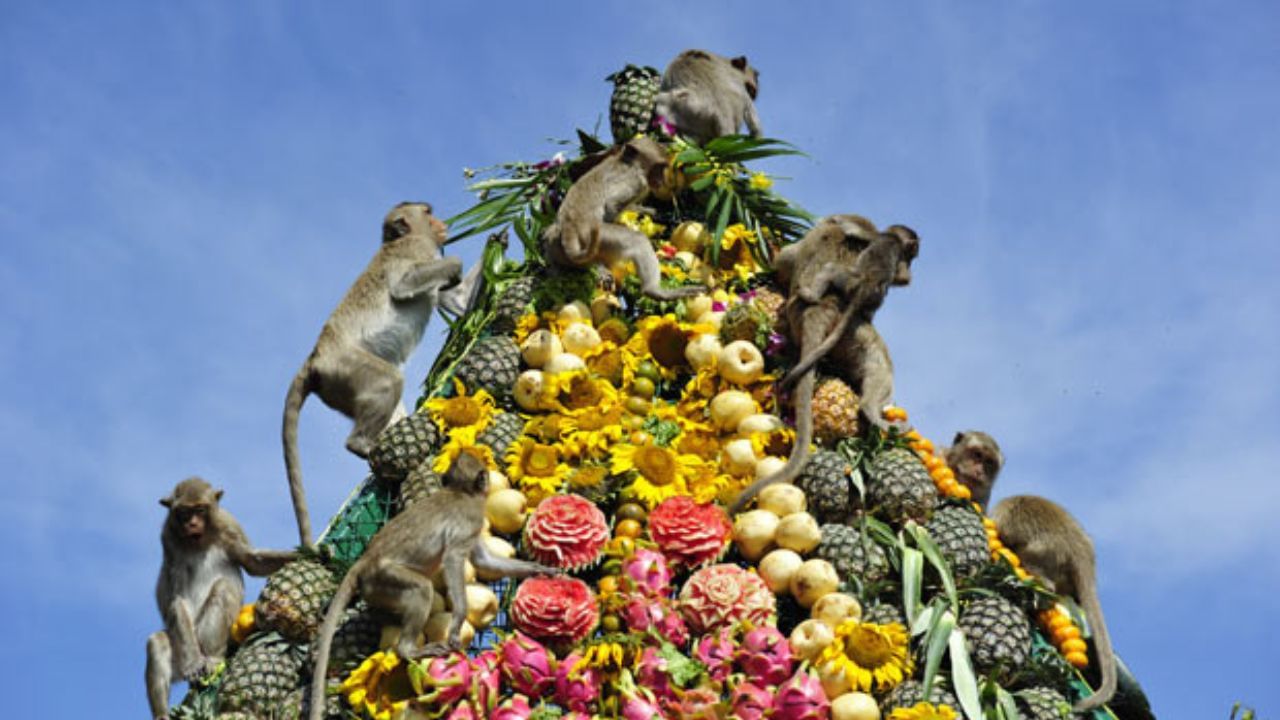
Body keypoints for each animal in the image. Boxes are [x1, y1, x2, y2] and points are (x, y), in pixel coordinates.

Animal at [146, 476, 295, 717]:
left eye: (200, 510)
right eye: (184, 513)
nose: (192, 524)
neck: (200, 540)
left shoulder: (228, 524)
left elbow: (251, 560)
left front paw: (314, 555)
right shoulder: (168, 538)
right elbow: (177, 599)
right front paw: (193, 663)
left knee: (223, 588)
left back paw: (213, 658)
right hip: (184, 649)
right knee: (158, 642)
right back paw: (163, 713)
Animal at [308, 450, 555, 717]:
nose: (488, 480)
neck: (461, 492)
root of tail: (365, 559)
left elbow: (484, 561)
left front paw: (540, 569)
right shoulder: (472, 519)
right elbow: (453, 559)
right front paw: (457, 621)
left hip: (375, 588)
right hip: (383, 576)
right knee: (422, 589)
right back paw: (408, 649)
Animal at [540, 134, 701, 299]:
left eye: (663, 168)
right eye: (658, 168)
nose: (661, 180)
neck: (629, 162)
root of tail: (569, 229)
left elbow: (628, 207)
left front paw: (650, 211)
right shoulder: (636, 181)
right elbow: (611, 205)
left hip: (558, 244)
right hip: (598, 237)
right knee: (637, 240)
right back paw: (654, 291)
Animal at [727, 215, 916, 512]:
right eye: (909, 259)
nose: (908, 273)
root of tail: (824, 306)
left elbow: (785, 260)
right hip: (851, 330)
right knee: (878, 357)